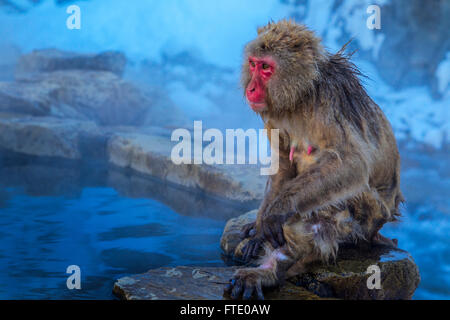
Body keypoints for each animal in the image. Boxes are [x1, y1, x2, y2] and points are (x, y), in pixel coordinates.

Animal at [225, 20, 404, 300]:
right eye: (253, 64)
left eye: (266, 68)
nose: (251, 89)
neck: (301, 96)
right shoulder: (273, 114)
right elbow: (282, 163)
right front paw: (259, 226)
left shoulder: (327, 105)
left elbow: (352, 164)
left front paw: (276, 212)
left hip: (370, 218)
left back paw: (271, 270)